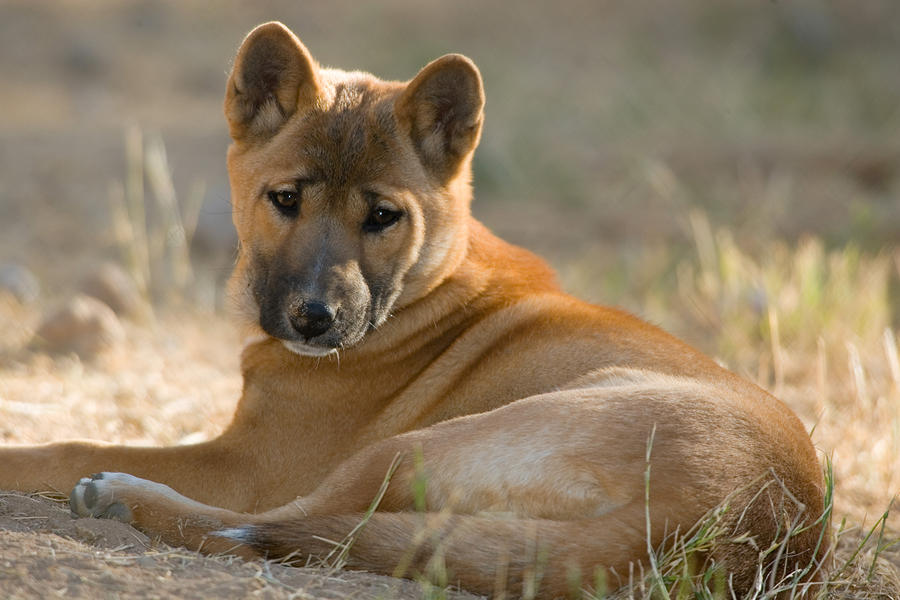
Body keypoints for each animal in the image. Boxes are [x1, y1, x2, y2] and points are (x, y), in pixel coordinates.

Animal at [1, 21, 828, 596]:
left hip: (411, 447)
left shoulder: (248, 466)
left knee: (278, 528)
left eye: (383, 217)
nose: (313, 320)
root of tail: (728, 526)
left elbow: (71, 445)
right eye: (285, 198)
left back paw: (120, 499)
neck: (429, 289)